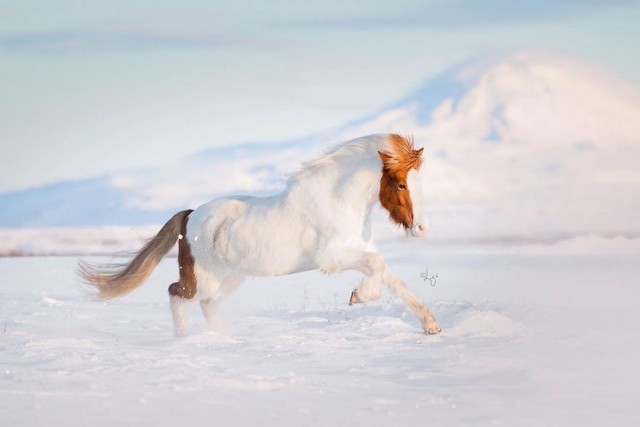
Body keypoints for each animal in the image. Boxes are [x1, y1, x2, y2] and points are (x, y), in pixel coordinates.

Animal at [77, 135, 440, 336]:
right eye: (401, 184)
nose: (421, 228)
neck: (337, 199)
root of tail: (190, 215)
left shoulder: (358, 251)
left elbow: (393, 279)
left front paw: (431, 326)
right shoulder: (332, 259)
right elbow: (377, 268)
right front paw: (358, 296)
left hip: (228, 279)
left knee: (206, 304)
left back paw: (222, 338)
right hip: (204, 279)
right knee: (176, 293)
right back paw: (183, 339)